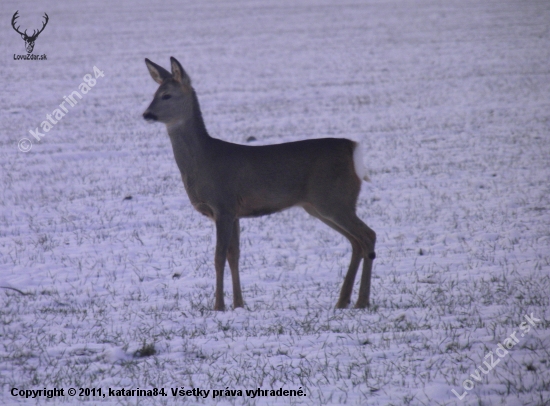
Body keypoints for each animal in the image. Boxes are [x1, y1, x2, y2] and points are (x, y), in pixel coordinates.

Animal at [142, 58, 378, 310]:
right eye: (154, 93)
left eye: (166, 95)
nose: (146, 114)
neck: (204, 160)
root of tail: (353, 149)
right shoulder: (235, 212)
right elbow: (234, 256)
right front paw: (238, 304)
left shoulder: (223, 205)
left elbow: (218, 257)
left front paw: (219, 306)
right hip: (320, 206)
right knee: (356, 241)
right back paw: (343, 301)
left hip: (334, 199)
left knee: (368, 235)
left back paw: (362, 301)